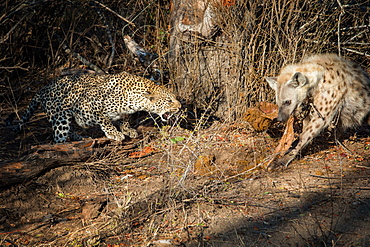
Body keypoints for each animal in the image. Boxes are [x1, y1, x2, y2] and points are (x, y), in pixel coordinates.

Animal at [19, 70, 181, 143]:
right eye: (169, 100)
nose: (180, 107)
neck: (135, 99)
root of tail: (43, 89)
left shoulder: (124, 112)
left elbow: (124, 118)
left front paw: (127, 130)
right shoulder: (93, 104)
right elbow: (106, 121)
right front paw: (115, 133)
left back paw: (80, 137)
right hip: (60, 118)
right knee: (59, 137)